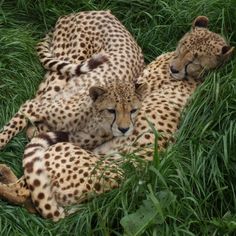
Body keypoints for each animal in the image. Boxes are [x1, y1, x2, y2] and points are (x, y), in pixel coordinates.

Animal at [0, 10, 146, 149]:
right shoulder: (36, 107)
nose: (124, 129)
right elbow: (20, 118)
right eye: (111, 110)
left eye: (133, 110)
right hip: (68, 63)